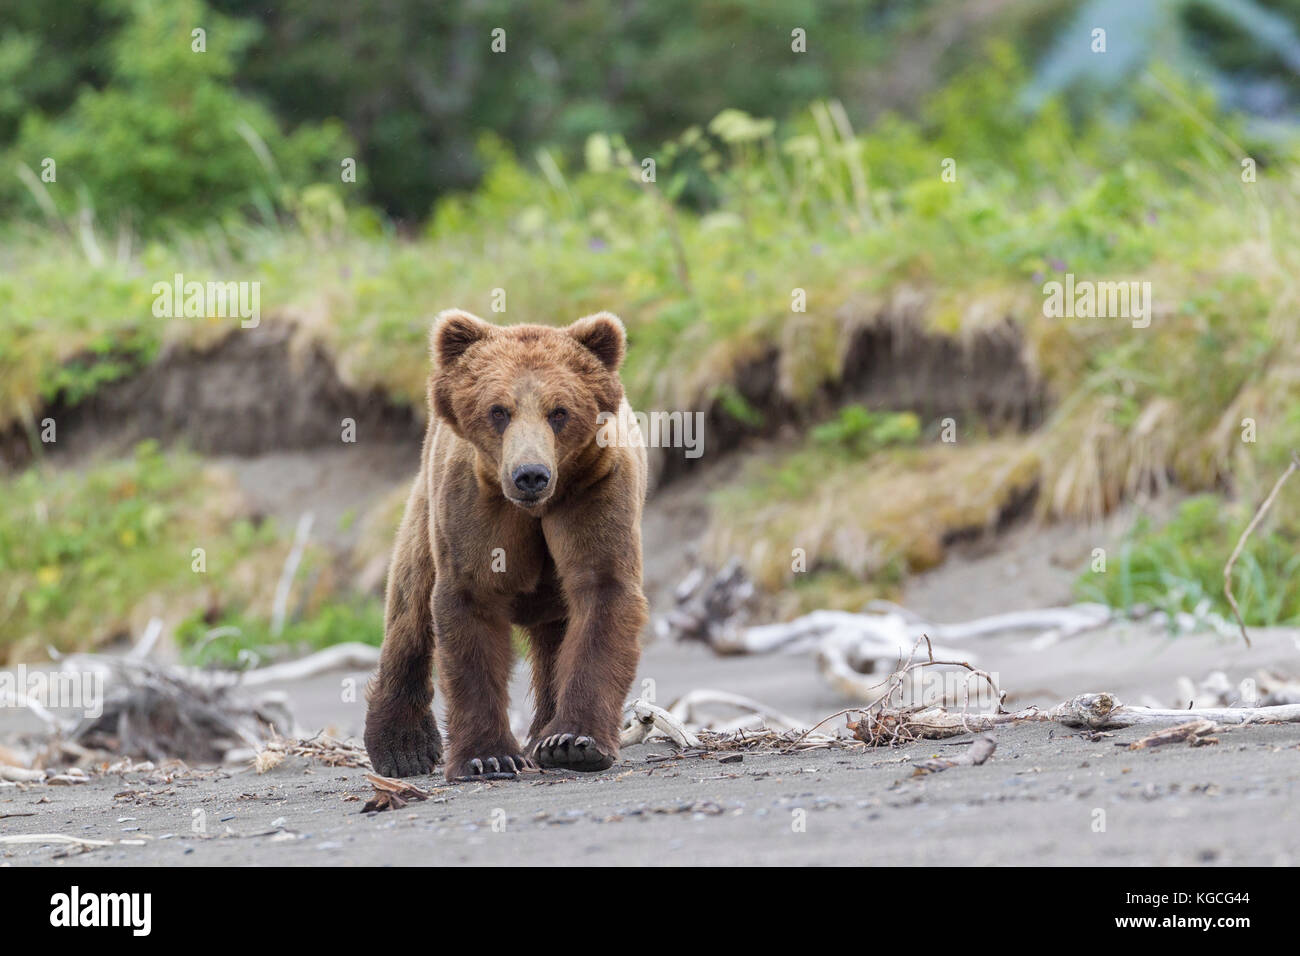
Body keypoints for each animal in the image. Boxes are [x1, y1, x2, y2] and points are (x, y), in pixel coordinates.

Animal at [364, 310, 647, 780]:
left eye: (559, 412)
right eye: (499, 410)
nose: (530, 474)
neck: (537, 507)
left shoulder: (595, 487)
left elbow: (601, 590)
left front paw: (574, 741)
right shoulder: (475, 502)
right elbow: (471, 600)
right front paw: (488, 756)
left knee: (556, 636)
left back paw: (542, 735)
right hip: (426, 504)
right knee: (410, 602)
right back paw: (402, 748)